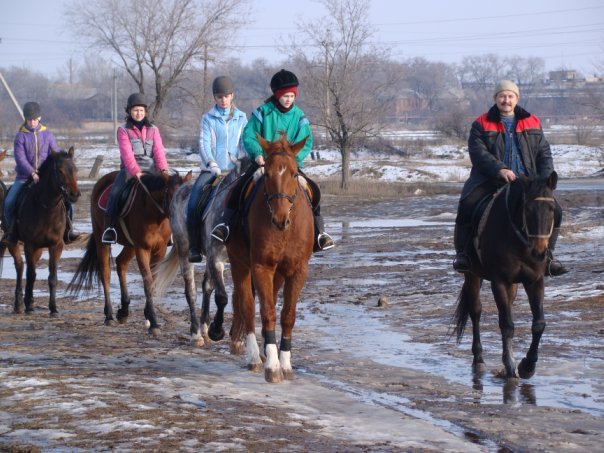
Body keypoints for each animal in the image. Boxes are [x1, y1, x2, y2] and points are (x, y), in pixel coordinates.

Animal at [0, 148, 80, 314]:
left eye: (75, 169)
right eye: (60, 171)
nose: (74, 194)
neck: (47, 209)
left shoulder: (56, 246)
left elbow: (52, 277)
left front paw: (53, 308)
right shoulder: (30, 245)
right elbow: (31, 275)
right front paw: (29, 306)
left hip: (39, 249)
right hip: (13, 243)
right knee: (20, 266)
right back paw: (19, 303)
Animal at [66, 169, 190, 332]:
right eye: (169, 194)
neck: (153, 214)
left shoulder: (160, 249)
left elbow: (153, 280)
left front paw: (148, 315)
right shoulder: (142, 249)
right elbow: (147, 281)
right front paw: (153, 321)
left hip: (130, 245)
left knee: (121, 263)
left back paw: (123, 311)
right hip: (101, 239)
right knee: (105, 273)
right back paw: (109, 315)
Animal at [155, 155, 251, 346]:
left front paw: (237, 336)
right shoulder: (216, 258)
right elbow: (221, 296)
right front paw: (217, 331)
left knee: (206, 287)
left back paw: (204, 327)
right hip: (185, 251)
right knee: (191, 291)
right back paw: (196, 334)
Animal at [224, 133, 314, 382]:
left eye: (293, 173)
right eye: (267, 174)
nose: (280, 218)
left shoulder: (297, 270)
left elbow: (287, 315)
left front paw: (285, 362)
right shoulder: (261, 267)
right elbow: (267, 312)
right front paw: (273, 366)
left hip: (278, 274)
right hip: (240, 264)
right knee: (246, 306)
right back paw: (255, 357)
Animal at [450, 171, 560, 380]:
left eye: (551, 209)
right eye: (527, 208)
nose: (539, 253)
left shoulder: (535, 281)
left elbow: (539, 324)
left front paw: (527, 366)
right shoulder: (499, 281)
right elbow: (507, 324)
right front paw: (510, 365)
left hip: (513, 284)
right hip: (472, 275)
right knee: (475, 311)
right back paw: (479, 360)